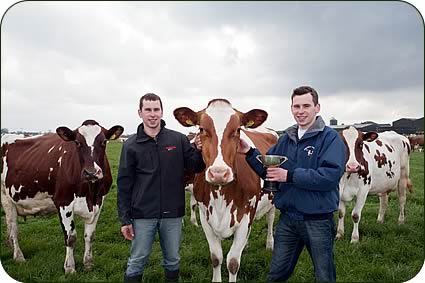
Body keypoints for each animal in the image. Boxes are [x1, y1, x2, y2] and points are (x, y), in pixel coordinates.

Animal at [1, 120, 124, 272]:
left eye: (104, 141)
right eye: (77, 142)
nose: (91, 172)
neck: (90, 193)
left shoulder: (99, 202)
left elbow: (90, 236)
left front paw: (88, 264)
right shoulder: (63, 202)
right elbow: (70, 237)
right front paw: (70, 268)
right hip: (6, 198)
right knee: (13, 229)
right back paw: (18, 257)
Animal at [173, 99, 276, 282]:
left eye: (238, 130)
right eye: (201, 129)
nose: (219, 173)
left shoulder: (246, 215)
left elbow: (233, 262)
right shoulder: (205, 216)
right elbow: (216, 257)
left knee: (270, 219)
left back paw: (270, 243)